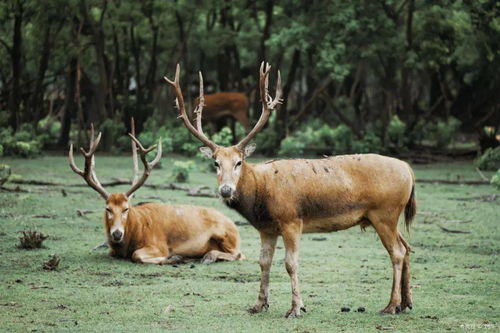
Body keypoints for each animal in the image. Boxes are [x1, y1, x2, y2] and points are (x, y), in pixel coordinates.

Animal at [68, 122, 244, 264]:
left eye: (126, 208)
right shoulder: (113, 249)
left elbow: (137, 255)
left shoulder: (159, 244)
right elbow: (111, 252)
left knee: (239, 254)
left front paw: (175, 257)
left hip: (225, 236)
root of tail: (235, 227)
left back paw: (208, 256)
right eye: (108, 209)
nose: (117, 234)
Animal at [166, 63, 416, 316]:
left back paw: (391, 305)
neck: (261, 195)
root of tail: (408, 169)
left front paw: (296, 308)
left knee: (397, 252)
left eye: (239, 162)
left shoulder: (292, 220)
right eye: (216, 163)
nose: (226, 190)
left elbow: (290, 263)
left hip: (384, 212)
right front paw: (259, 304)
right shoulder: (266, 228)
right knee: (407, 247)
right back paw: (406, 302)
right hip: (388, 216)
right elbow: (263, 262)